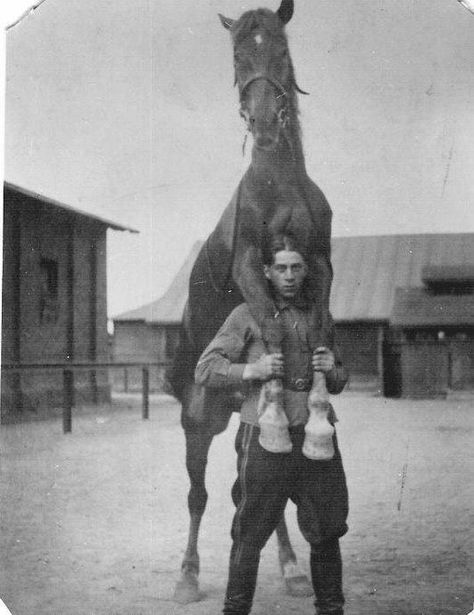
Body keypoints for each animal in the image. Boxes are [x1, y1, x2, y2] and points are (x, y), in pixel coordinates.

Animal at [168, 1, 336, 608]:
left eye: (280, 50)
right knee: (198, 493)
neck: (277, 180)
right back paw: (188, 574)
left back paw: (287, 564)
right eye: (238, 56)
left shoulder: (321, 265)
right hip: (197, 418)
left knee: (250, 495)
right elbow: (273, 327)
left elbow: (315, 329)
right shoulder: (247, 267)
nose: (264, 125)